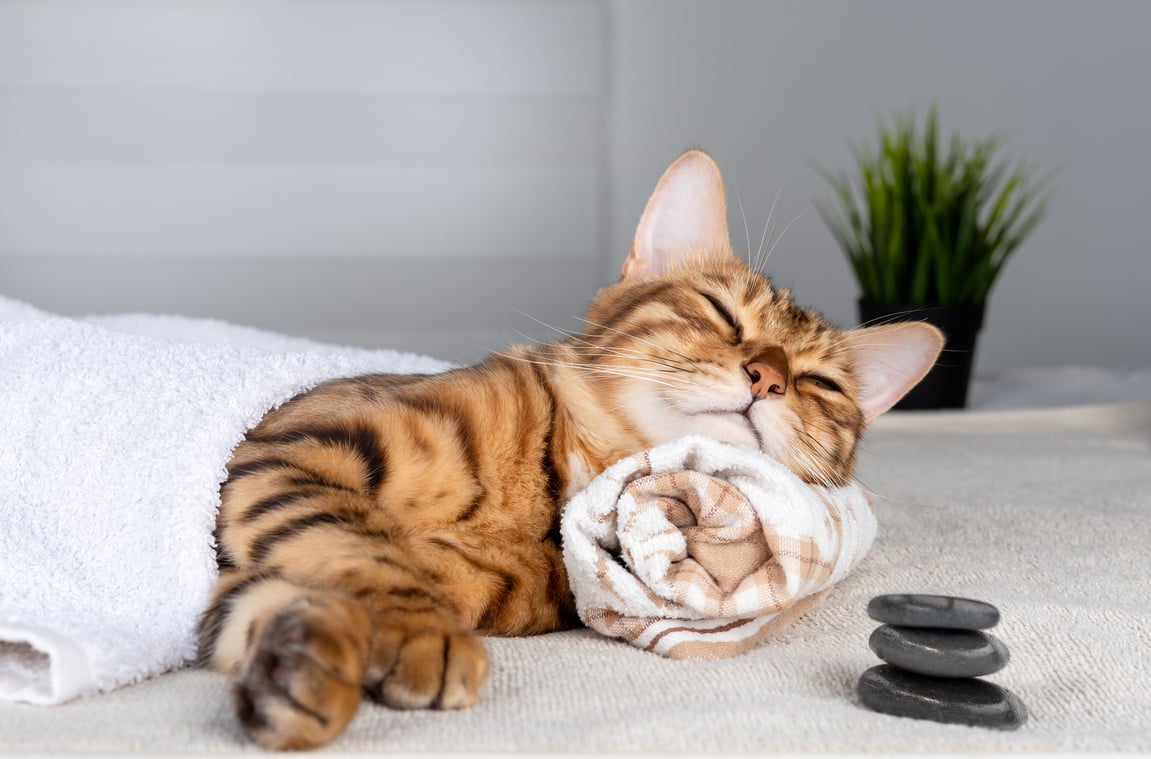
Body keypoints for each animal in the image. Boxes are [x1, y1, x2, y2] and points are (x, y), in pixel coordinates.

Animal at [197, 150, 943, 750]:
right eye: (720, 313)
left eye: (819, 383)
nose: (768, 377)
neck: (552, 486)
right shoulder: (296, 446)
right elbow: (359, 546)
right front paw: (419, 631)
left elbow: (285, 590)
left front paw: (297, 671)